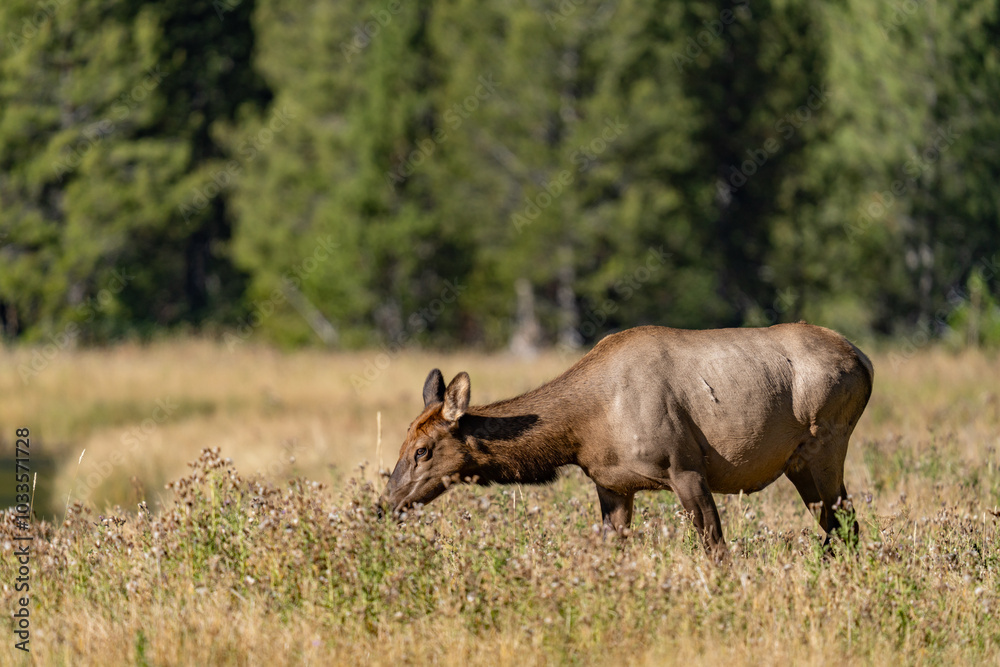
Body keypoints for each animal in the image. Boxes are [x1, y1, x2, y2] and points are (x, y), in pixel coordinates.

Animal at [378, 323, 873, 560]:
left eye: (423, 450)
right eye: (403, 444)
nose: (386, 504)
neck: (582, 429)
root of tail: (864, 361)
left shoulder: (685, 468)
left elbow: (717, 551)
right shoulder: (611, 485)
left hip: (826, 445)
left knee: (847, 525)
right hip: (800, 463)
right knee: (837, 527)